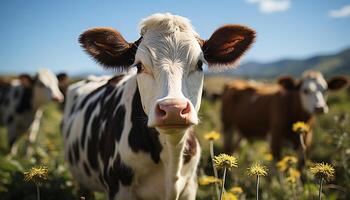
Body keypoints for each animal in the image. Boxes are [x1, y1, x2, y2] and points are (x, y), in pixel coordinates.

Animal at [62, 13, 254, 199]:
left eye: (199, 64)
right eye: (139, 66)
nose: (173, 109)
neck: (172, 155)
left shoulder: (190, 187)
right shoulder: (119, 186)